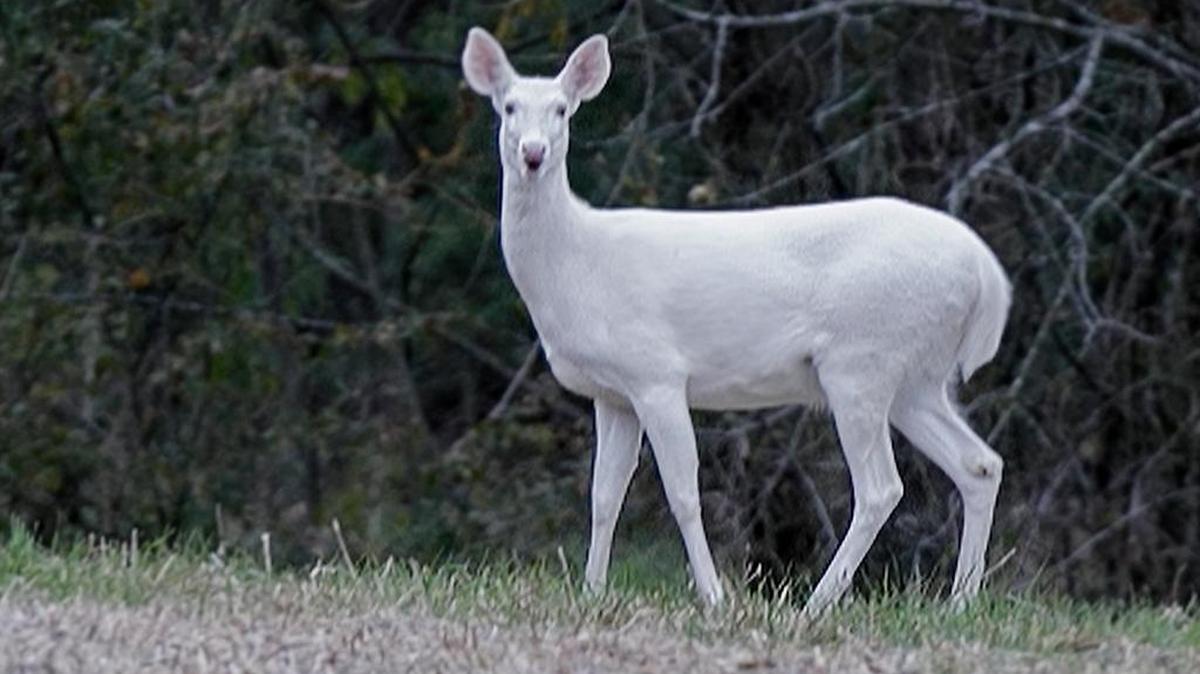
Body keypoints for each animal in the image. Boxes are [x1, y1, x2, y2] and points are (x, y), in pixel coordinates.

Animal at [460, 27, 1011, 617]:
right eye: (508, 107)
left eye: (562, 109)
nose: (533, 153)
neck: (577, 265)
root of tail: (986, 274)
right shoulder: (611, 393)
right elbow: (604, 496)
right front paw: (591, 592)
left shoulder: (656, 373)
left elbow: (682, 494)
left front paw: (714, 597)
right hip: (916, 376)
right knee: (979, 464)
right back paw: (960, 602)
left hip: (862, 360)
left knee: (882, 487)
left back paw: (816, 605)